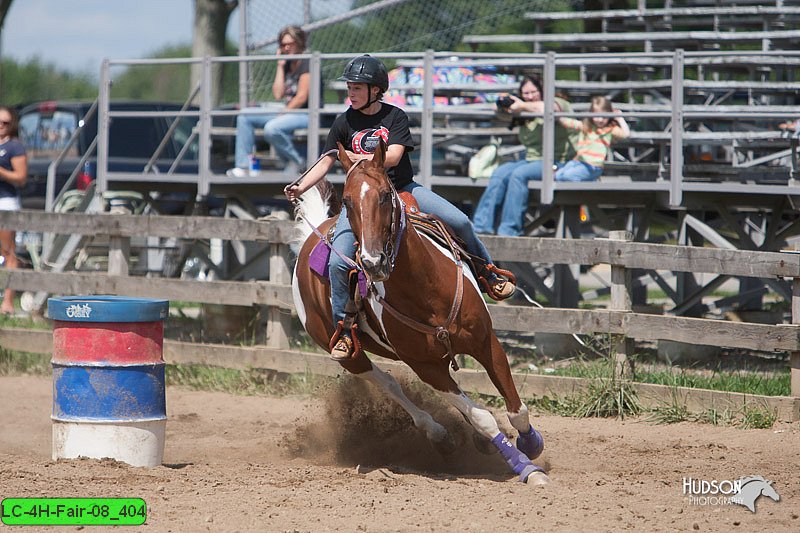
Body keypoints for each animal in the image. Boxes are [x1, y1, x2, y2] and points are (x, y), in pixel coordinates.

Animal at [292, 141, 552, 486]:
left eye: (384, 195)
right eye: (346, 200)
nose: (372, 262)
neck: (427, 289)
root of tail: (312, 236)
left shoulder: (486, 342)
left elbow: (516, 408)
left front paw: (531, 443)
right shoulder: (427, 367)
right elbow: (481, 417)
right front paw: (525, 467)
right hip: (345, 353)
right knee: (388, 383)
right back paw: (439, 434)